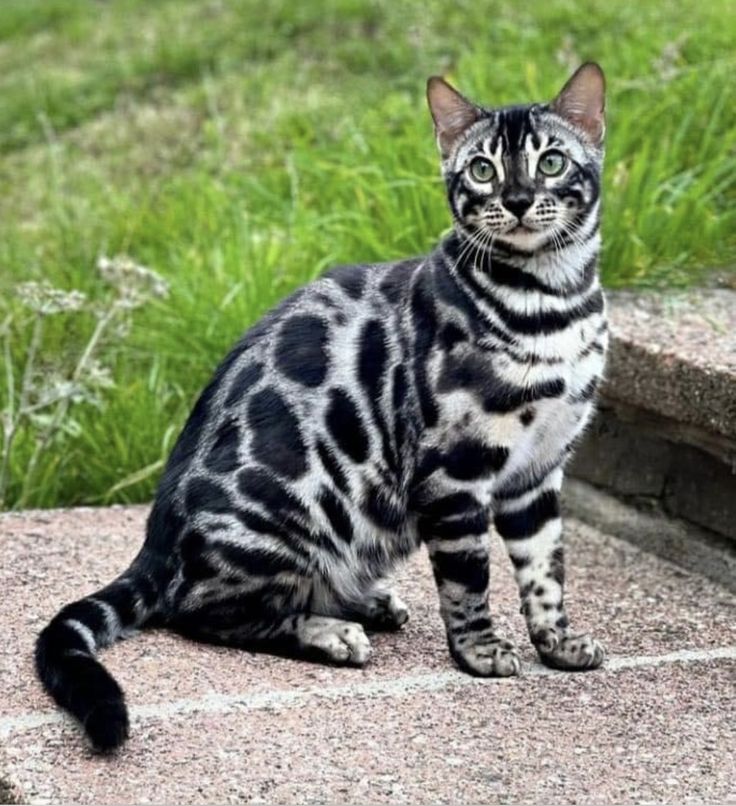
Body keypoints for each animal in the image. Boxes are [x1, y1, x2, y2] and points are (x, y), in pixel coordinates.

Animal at [34, 61, 608, 752]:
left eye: (550, 161)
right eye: (482, 170)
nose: (519, 199)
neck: (552, 304)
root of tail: (157, 541)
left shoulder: (539, 470)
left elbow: (546, 570)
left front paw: (558, 642)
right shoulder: (454, 470)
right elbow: (469, 576)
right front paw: (479, 652)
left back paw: (365, 603)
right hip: (298, 514)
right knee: (204, 611)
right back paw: (330, 633)